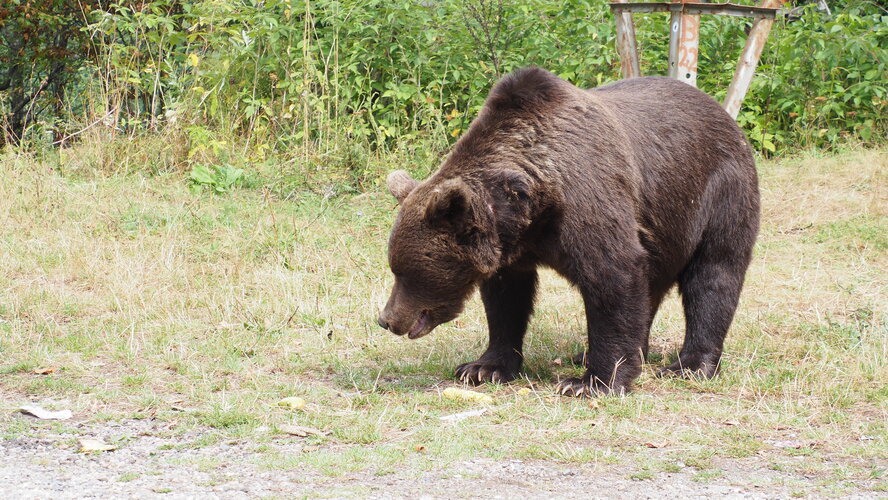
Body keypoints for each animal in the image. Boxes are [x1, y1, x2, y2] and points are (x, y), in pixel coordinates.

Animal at [378, 66, 760, 396]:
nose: (387, 319)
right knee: (653, 286)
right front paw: (483, 367)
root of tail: (722, 112)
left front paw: (592, 382)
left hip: (719, 192)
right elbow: (506, 301)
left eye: (404, 272)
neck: (531, 203)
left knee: (714, 274)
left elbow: (613, 276)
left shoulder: (588, 199)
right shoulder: (512, 249)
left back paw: (691, 365)